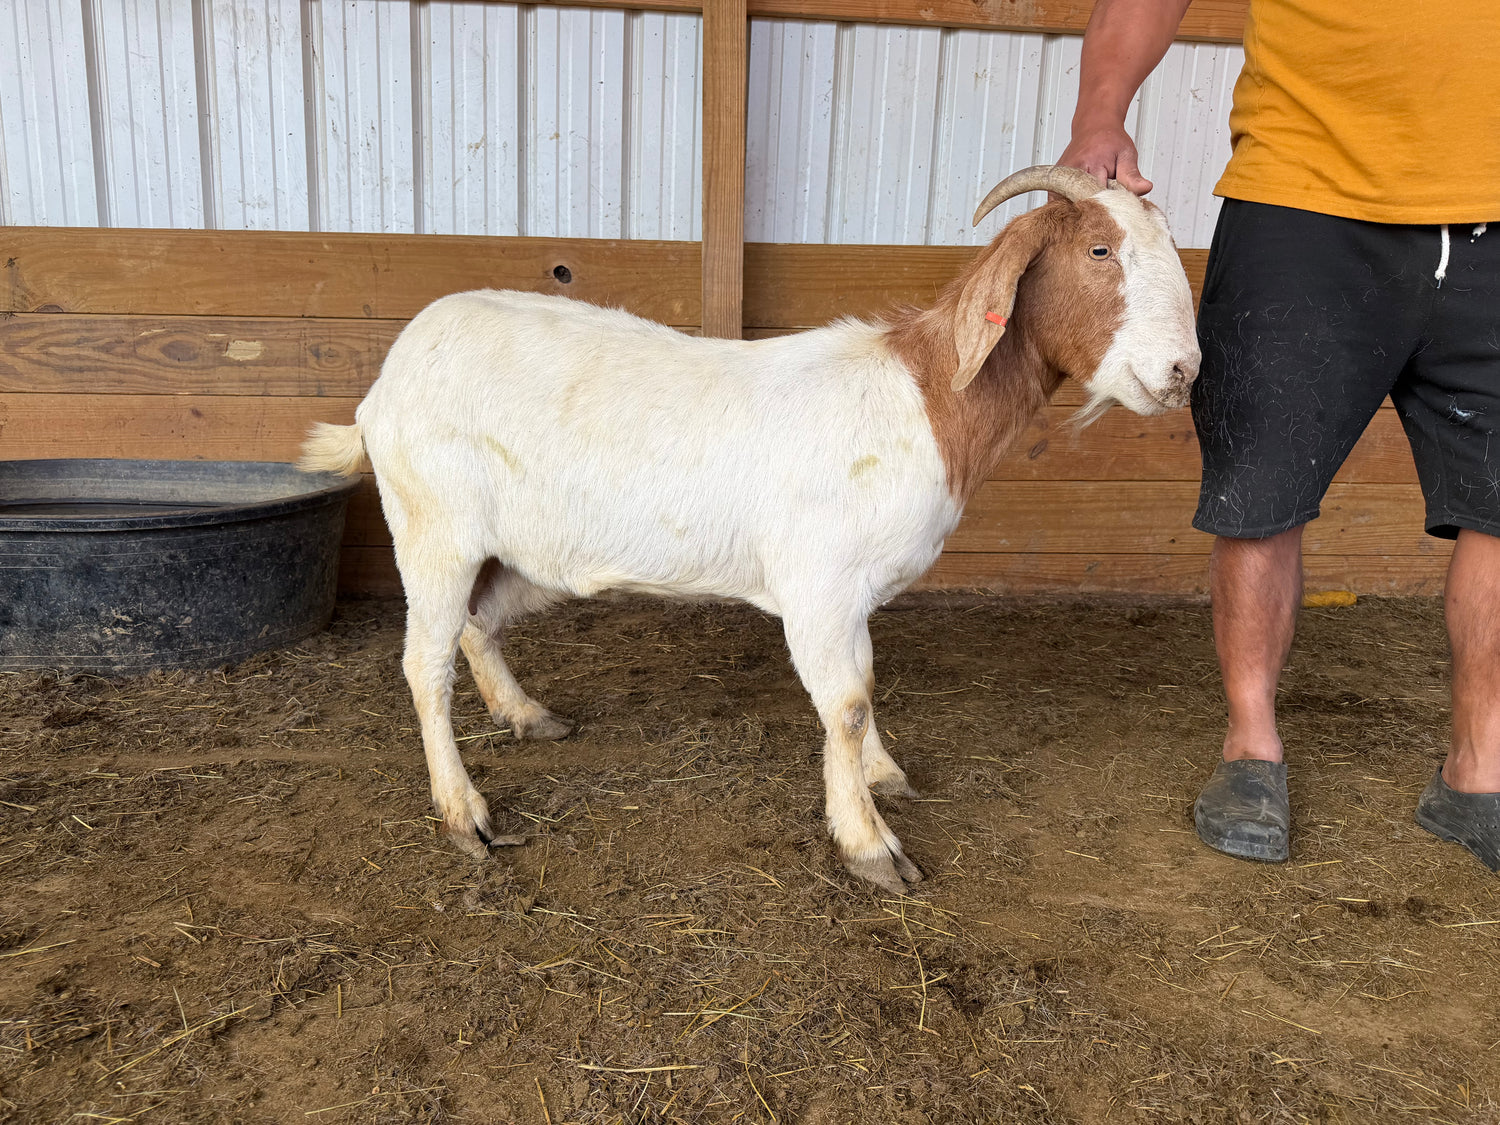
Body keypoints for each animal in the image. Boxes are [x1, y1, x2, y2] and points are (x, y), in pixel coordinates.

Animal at [299, 165, 1200, 894]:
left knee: (476, 626)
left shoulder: (853, 592)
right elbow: (846, 702)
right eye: (1099, 250)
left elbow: (864, 689)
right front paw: (869, 843)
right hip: (433, 529)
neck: (921, 398)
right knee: (424, 665)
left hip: (513, 554)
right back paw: (466, 814)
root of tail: (381, 387)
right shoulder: (819, 582)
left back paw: (525, 715)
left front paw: (881, 774)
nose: (1182, 371)